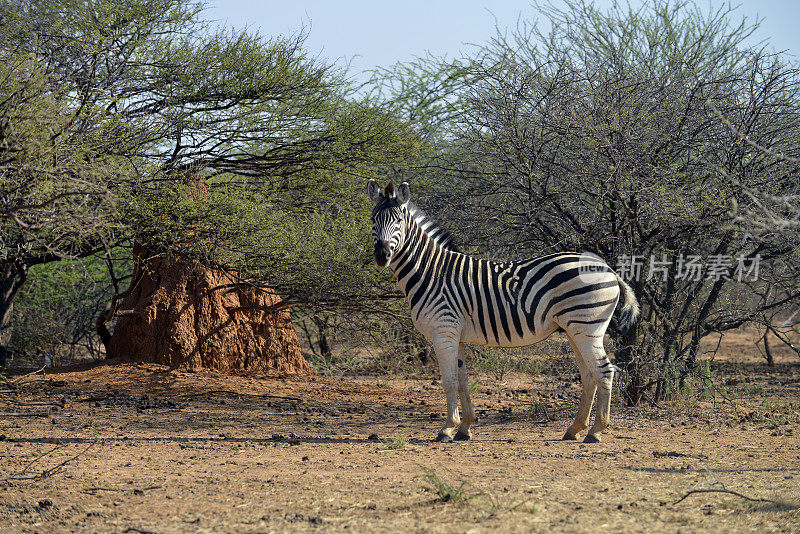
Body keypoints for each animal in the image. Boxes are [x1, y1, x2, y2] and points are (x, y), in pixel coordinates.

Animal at [366, 180, 640, 444]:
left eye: (398, 221)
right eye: (372, 220)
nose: (381, 255)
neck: (431, 272)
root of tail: (608, 268)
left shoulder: (443, 332)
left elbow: (449, 381)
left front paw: (447, 429)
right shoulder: (457, 335)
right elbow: (463, 381)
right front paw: (465, 427)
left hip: (587, 327)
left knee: (604, 372)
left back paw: (595, 431)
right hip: (576, 330)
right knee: (589, 375)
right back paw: (575, 429)